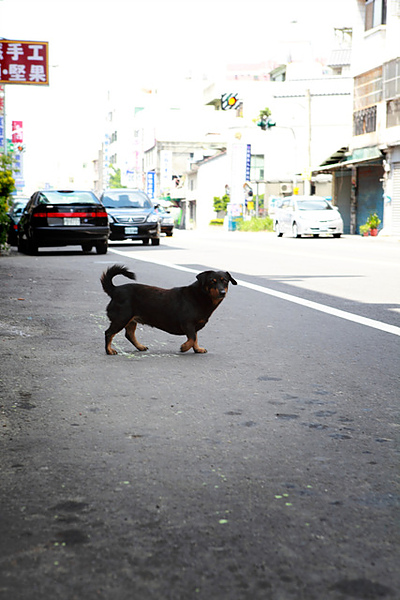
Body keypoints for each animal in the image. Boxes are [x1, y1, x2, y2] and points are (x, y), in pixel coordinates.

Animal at [101, 264, 238, 354]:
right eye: (212, 281)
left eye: (225, 281)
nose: (222, 292)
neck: (201, 295)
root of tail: (115, 290)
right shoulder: (187, 323)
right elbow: (192, 338)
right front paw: (184, 347)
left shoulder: (193, 327)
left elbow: (195, 338)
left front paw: (197, 349)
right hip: (121, 318)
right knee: (109, 333)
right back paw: (109, 350)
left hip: (131, 320)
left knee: (129, 334)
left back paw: (140, 347)